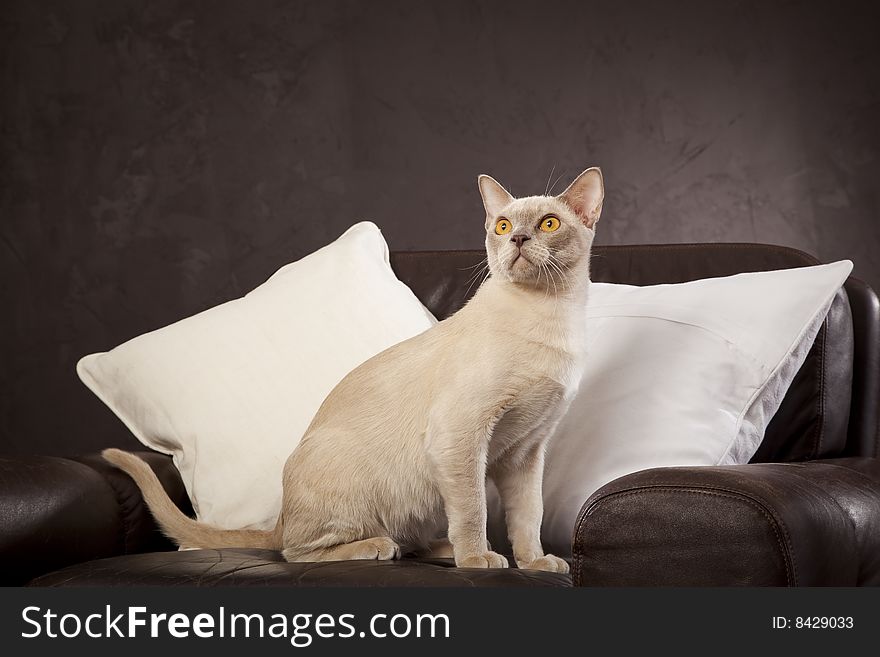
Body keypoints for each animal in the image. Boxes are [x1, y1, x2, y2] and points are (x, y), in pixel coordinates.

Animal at [99, 167, 600, 572]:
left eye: (548, 223)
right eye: (503, 226)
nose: (518, 239)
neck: (551, 316)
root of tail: (279, 517)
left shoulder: (525, 452)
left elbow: (528, 517)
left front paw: (535, 564)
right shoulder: (462, 436)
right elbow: (474, 509)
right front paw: (478, 561)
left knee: (405, 539)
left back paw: (441, 549)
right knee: (296, 552)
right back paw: (387, 547)